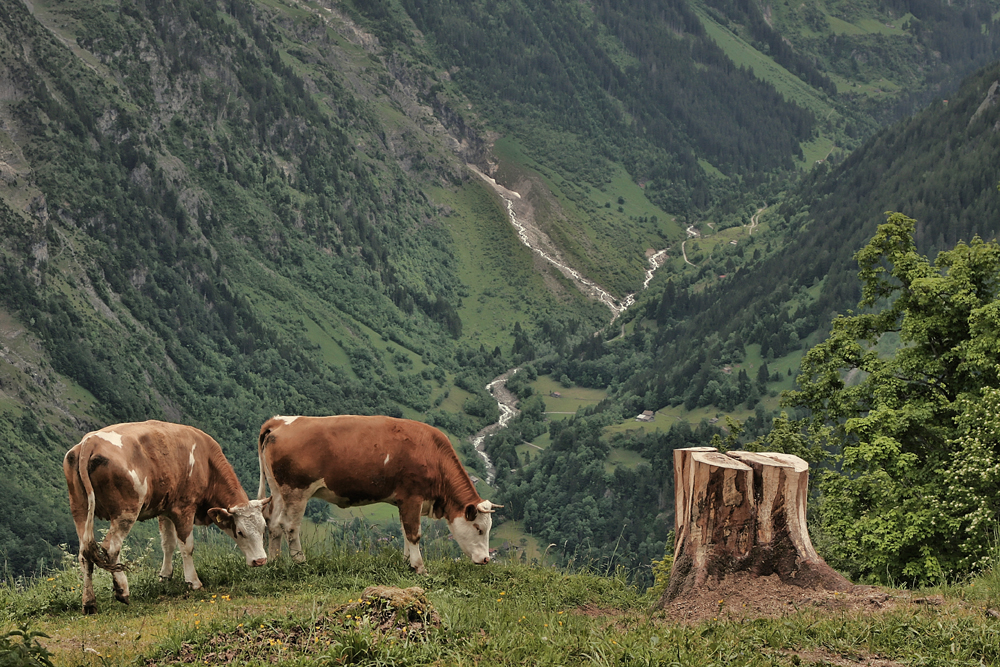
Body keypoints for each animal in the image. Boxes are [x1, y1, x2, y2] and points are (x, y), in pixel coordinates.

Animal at [64, 422, 272, 616]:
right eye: (240, 532)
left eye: (264, 529)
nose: (261, 561)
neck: (206, 461)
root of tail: (90, 441)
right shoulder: (184, 508)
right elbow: (187, 547)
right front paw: (193, 582)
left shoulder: (166, 509)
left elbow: (168, 544)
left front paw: (165, 576)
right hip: (126, 511)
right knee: (110, 547)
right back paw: (122, 591)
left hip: (80, 510)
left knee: (84, 553)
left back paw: (89, 603)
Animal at [260, 412, 500, 576]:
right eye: (478, 528)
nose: (486, 559)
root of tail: (279, 421)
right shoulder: (412, 497)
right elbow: (414, 534)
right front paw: (419, 567)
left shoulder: (404, 501)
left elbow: (404, 531)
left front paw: (407, 562)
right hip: (296, 491)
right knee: (290, 526)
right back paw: (300, 561)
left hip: (278, 491)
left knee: (273, 523)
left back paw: (274, 560)